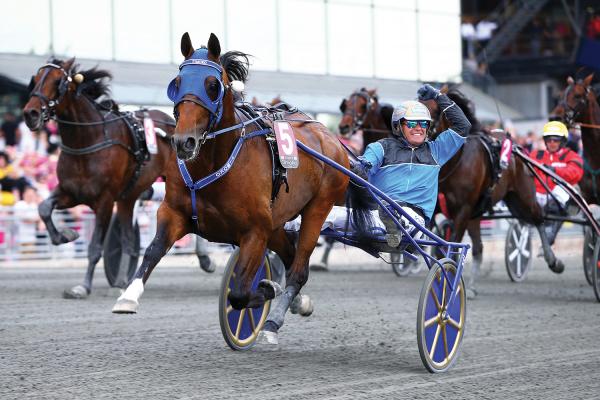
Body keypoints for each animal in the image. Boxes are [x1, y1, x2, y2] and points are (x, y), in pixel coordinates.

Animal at [21, 57, 176, 298]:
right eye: (35, 80)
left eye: (57, 82)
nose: (31, 114)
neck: (86, 142)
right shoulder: (70, 192)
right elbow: (44, 208)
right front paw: (66, 235)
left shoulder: (105, 201)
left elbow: (95, 247)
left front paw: (83, 287)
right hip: (128, 198)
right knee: (128, 241)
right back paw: (124, 280)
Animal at [109, 32, 368, 344]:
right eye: (177, 83)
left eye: (212, 86)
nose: (183, 142)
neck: (212, 163)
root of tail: (331, 138)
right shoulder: (173, 212)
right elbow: (153, 250)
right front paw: (128, 296)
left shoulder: (254, 231)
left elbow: (241, 292)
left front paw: (267, 289)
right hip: (276, 223)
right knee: (291, 256)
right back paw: (297, 302)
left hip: (318, 207)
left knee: (298, 269)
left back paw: (274, 319)